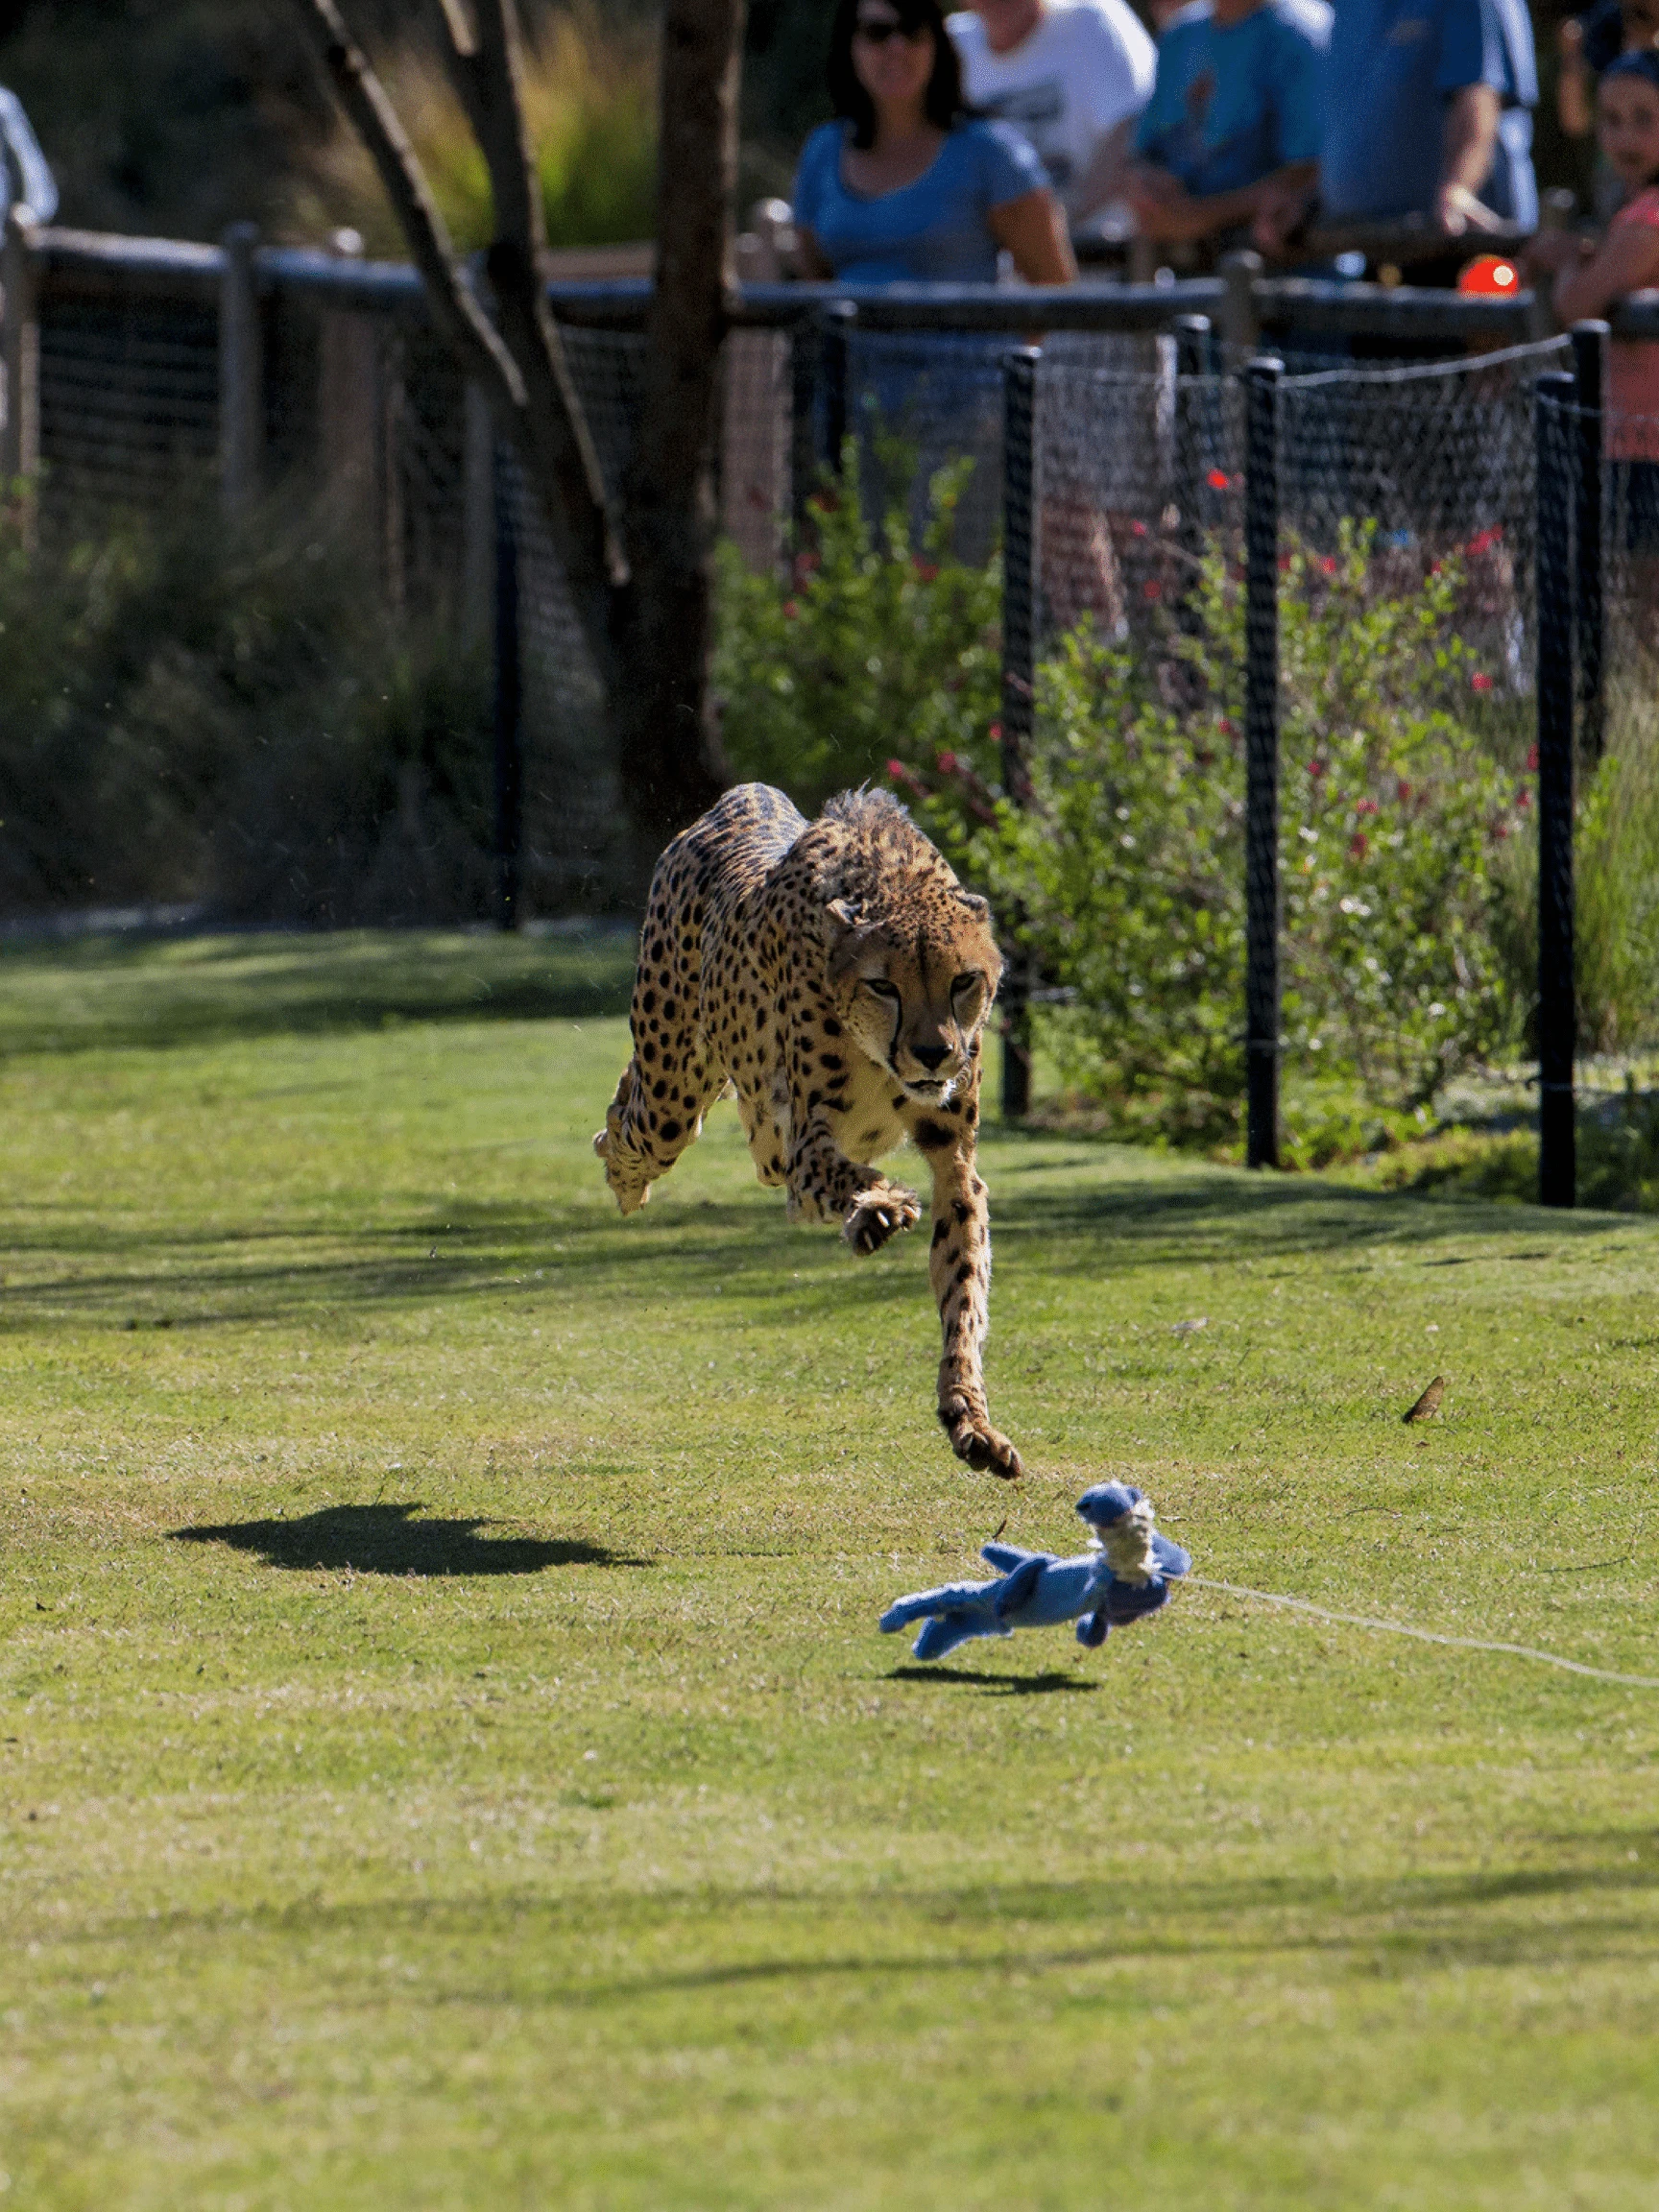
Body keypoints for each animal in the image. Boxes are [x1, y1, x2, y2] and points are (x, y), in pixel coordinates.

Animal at [594, 781, 1022, 1479]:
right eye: (883, 985)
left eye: (964, 980)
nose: (934, 1055)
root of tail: (745, 794)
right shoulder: (806, 1141)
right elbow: (839, 1174)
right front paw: (878, 1208)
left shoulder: (954, 1160)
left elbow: (963, 1292)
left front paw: (969, 1416)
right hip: (674, 1093)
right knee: (633, 1120)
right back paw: (624, 1177)